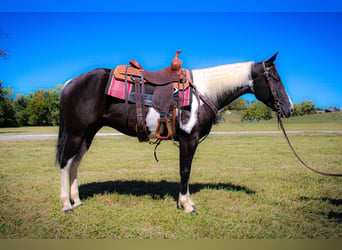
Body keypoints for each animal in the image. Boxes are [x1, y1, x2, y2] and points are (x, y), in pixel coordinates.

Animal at [56, 52, 294, 213]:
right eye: (275, 79)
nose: (289, 109)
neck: (203, 92)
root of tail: (69, 84)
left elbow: (185, 171)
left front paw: (185, 202)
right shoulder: (189, 139)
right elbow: (185, 170)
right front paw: (187, 205)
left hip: (87, 134)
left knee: (75, 163)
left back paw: (77, 201)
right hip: (77, 133)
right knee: (65, 163)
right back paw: (66, 204)